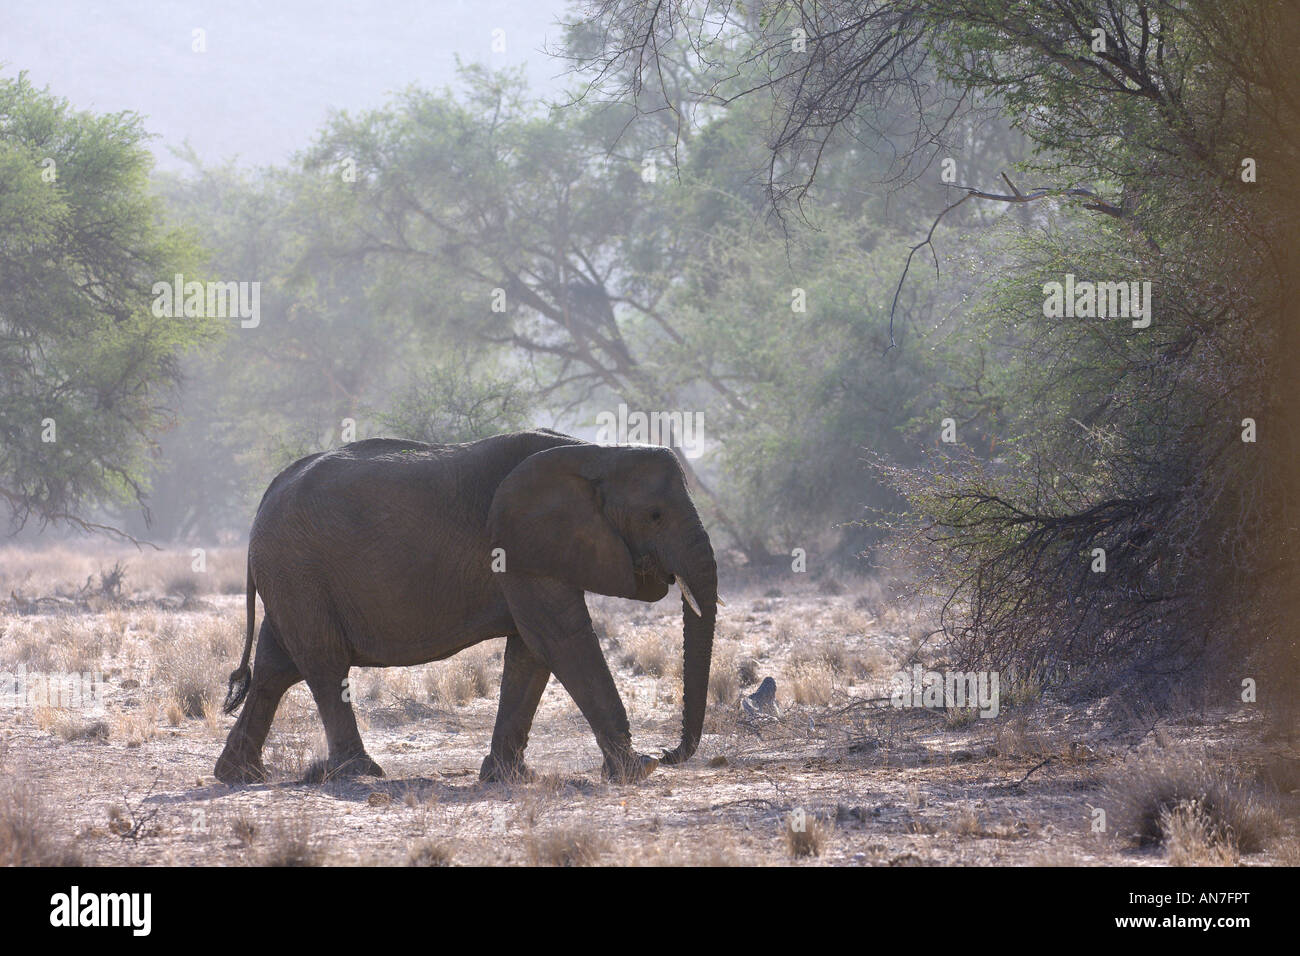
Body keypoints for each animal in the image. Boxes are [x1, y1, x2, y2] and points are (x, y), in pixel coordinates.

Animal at [215, 431, 722, 785]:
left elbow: (531, 652)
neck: (597, 451)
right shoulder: (517, 545)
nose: (669, 753)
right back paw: (360, 774)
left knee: (275, 667)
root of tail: (267, 495)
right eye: (654, 516)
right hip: (296, 569)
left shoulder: (533, 551)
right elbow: (560, 638)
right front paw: (638, 770)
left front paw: (509, 778)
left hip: (290, 576)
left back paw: (240, 776)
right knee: (322, 663)